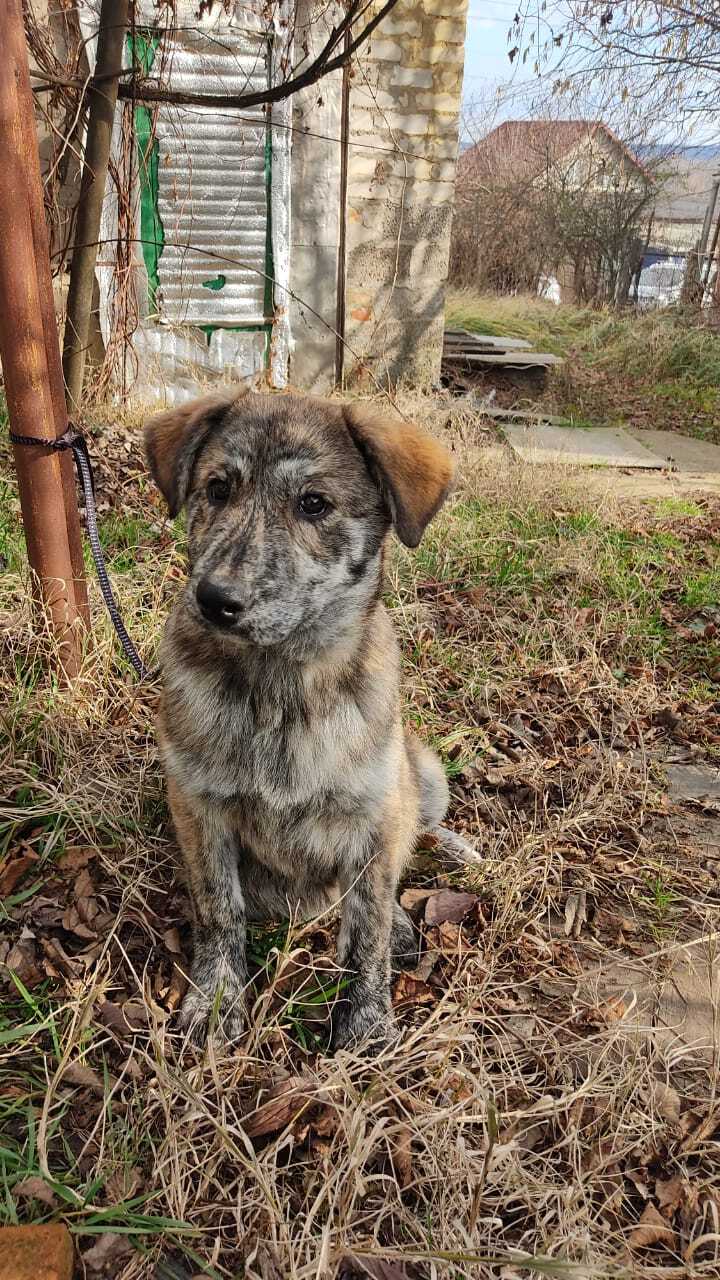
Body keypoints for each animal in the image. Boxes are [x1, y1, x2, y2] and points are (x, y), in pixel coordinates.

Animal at [144, 391, 453, 1049]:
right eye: (217, 489)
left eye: (314, 504)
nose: (215, 600)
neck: (280, 687)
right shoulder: (200, 808)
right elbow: (220, 910)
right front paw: (216, 1003)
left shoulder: (374, 817)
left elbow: (368, 929)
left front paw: (365, 1024)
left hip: (424, 776)